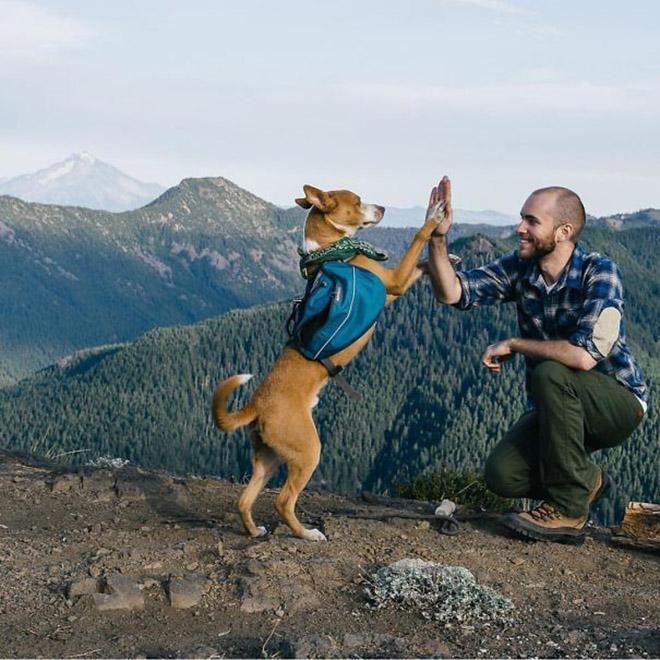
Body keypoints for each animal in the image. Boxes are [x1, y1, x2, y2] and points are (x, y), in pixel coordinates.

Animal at [214, 183, 446, 540]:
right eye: (358, 201)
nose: (383, 207)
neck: (334, 251)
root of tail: (256, 403)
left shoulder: (397, 283)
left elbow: (420, 264)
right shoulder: (394, 283)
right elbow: (417, 242)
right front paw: (433, 216)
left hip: (269, 457)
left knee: (244, 499)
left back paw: (255, 531)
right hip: (308, 451)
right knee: (283, 500)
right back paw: (308, 534)